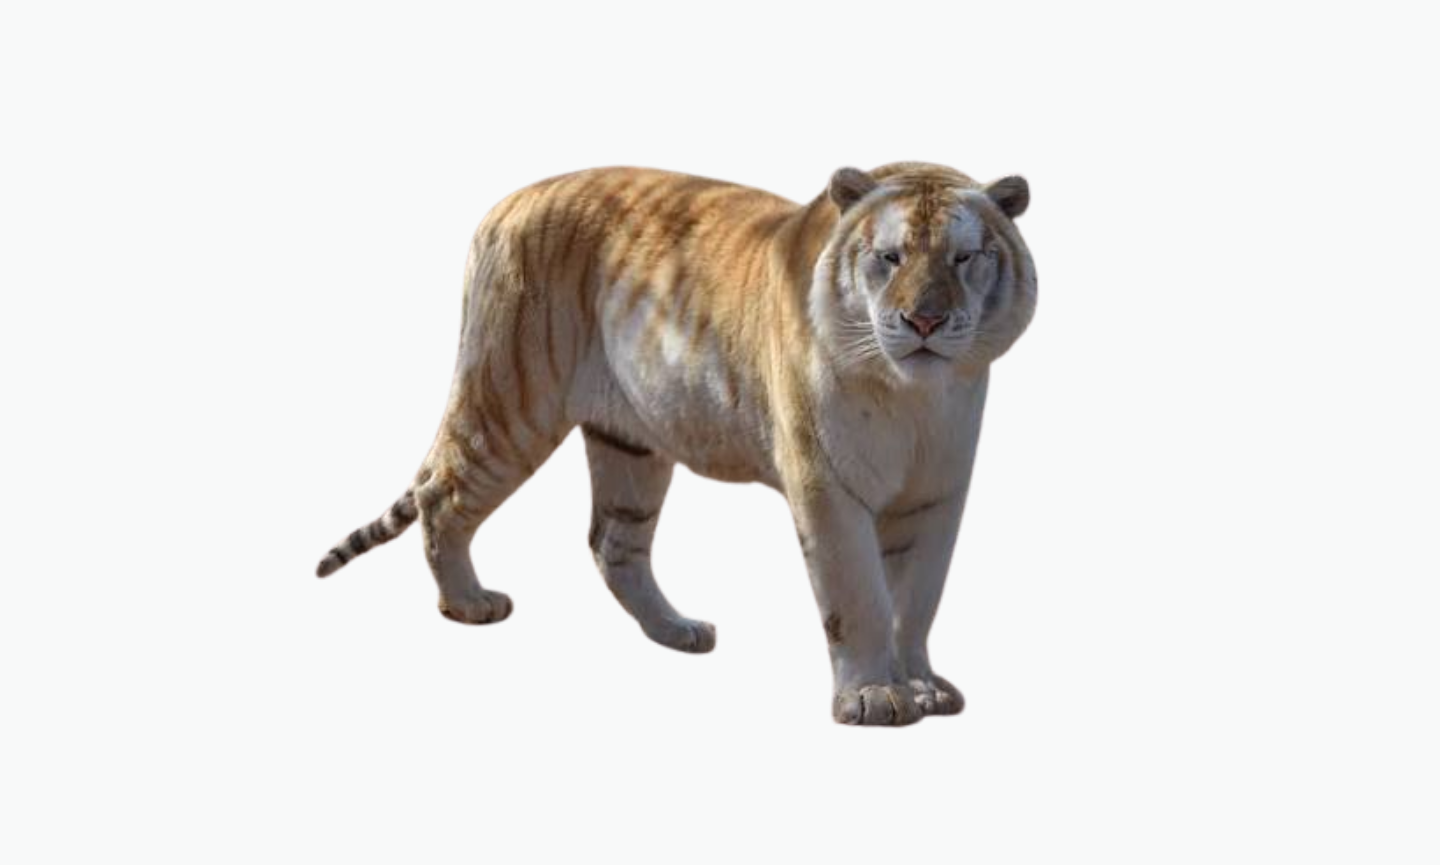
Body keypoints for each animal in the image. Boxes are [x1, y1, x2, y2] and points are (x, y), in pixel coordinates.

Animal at [315, 162, 1036, 726]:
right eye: (890, 257)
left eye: (964, 257)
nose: (925, 320)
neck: (914, 397)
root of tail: (508, 203)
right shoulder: (827, 486)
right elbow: (857, 593)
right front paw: (873, 698)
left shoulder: (935, 496)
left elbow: (916, 599)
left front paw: (921, 687)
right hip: (510, 405)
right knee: (442, 497)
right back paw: (469, 605)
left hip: (630, 446)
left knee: (612, 542)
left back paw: (676, 631)